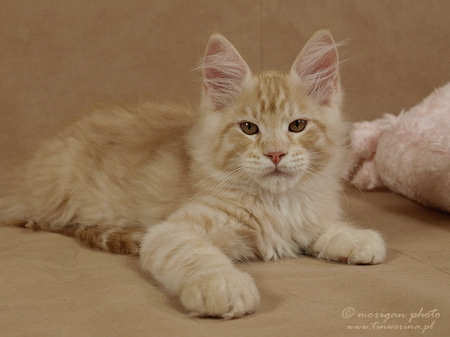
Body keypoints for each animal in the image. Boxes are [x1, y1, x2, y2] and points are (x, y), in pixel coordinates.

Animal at [1, 30, 384, 318]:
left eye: (297, 125)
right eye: (249, 128)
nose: (275, 153)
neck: (278, 202)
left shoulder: (307, 214)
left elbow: (323, 228)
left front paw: (355, 239)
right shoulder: (171, 231)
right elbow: (199, 256)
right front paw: (223, 285)